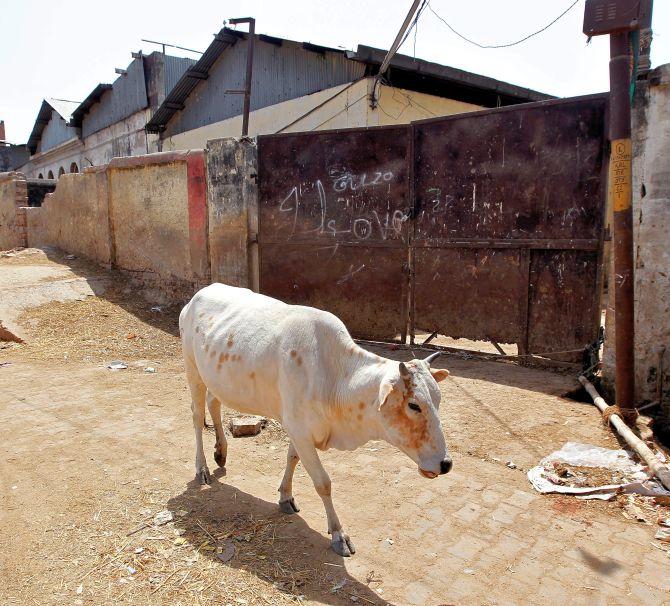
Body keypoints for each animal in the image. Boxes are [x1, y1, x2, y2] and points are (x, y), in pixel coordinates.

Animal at [178, 286, 454, 560]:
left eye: (438, 399)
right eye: (414, 405)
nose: (446, 464)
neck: (334, 377)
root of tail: (197, 296)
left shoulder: (298, 429)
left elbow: (292, 458)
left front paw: (285, 497)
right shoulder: (299, 430)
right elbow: (323, 483)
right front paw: (339, 535)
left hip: (215, 379)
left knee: (214, 403)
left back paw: (221, 452)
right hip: (193, 371)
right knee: (196, 417)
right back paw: (202, 468)